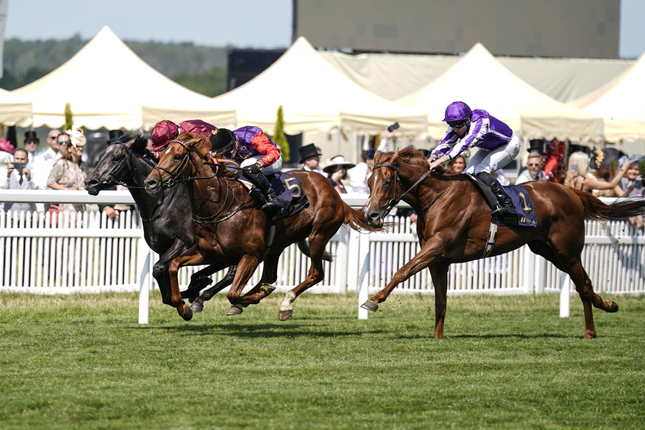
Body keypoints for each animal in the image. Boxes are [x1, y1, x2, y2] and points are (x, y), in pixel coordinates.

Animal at [84, 131, 236, 311]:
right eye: (101, 156)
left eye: (116, 157)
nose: (90, 182)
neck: (162, 204)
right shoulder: (162, 248)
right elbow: (163, 276)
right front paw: (183, 293)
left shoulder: (184, 242)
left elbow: (158, 268)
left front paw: (186, 294)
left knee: (231, 273)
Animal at [143, 132, 378, 321]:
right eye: (160, 155)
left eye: (177, 156)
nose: (150, 182)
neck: (222, 205)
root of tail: (336, 194)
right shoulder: (207, 252)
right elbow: (173, 266)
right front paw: (183, 308)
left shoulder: (251, 255)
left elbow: (232, 293)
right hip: (276, 246)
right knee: (270, 277)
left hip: (318, 235)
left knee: (315, 274)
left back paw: (284, 303)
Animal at [362, 146, 645, 339]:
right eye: (368, 182)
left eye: (387, 181)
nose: (371, 215)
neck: (437, 195)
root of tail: (571, 191)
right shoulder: (438, 259)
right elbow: (440, 301)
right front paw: (438, 337)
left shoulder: (437, 246)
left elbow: (402, 271)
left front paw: (373, 300)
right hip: (547, 250)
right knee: (582, 282)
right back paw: (608, 305)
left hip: (567, 251)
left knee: (583, 284)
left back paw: (590, 331)